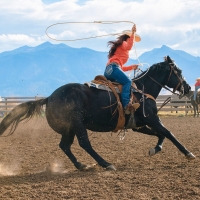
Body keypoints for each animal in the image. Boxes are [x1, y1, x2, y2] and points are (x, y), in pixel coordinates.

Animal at [0, 55, 195, 170]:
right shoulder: (153, 119)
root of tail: (49, 97)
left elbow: (160, 135)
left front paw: (155, 149)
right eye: (178, 71)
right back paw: (106, 164)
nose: (188, 88)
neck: (142, 90)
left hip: (69, 129)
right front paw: (188, 153)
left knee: (65, 146)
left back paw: (81, 165)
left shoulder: (139, 125)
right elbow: (169, 133)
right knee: (84, 144)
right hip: (77, 124)